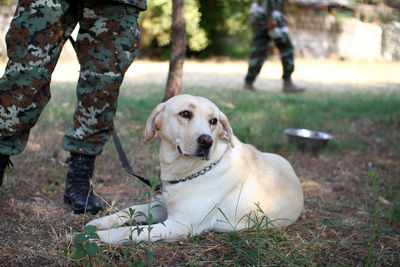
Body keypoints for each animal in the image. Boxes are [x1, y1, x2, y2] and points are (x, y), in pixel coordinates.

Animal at [88, 95, 304, 246]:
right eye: (185, 113)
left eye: (214, 121)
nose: (207, 141)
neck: (190, 172)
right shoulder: (164, 206)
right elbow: (130, 210)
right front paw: (99, 223)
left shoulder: (179, 225)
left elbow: (130, 231)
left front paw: (94, 237)